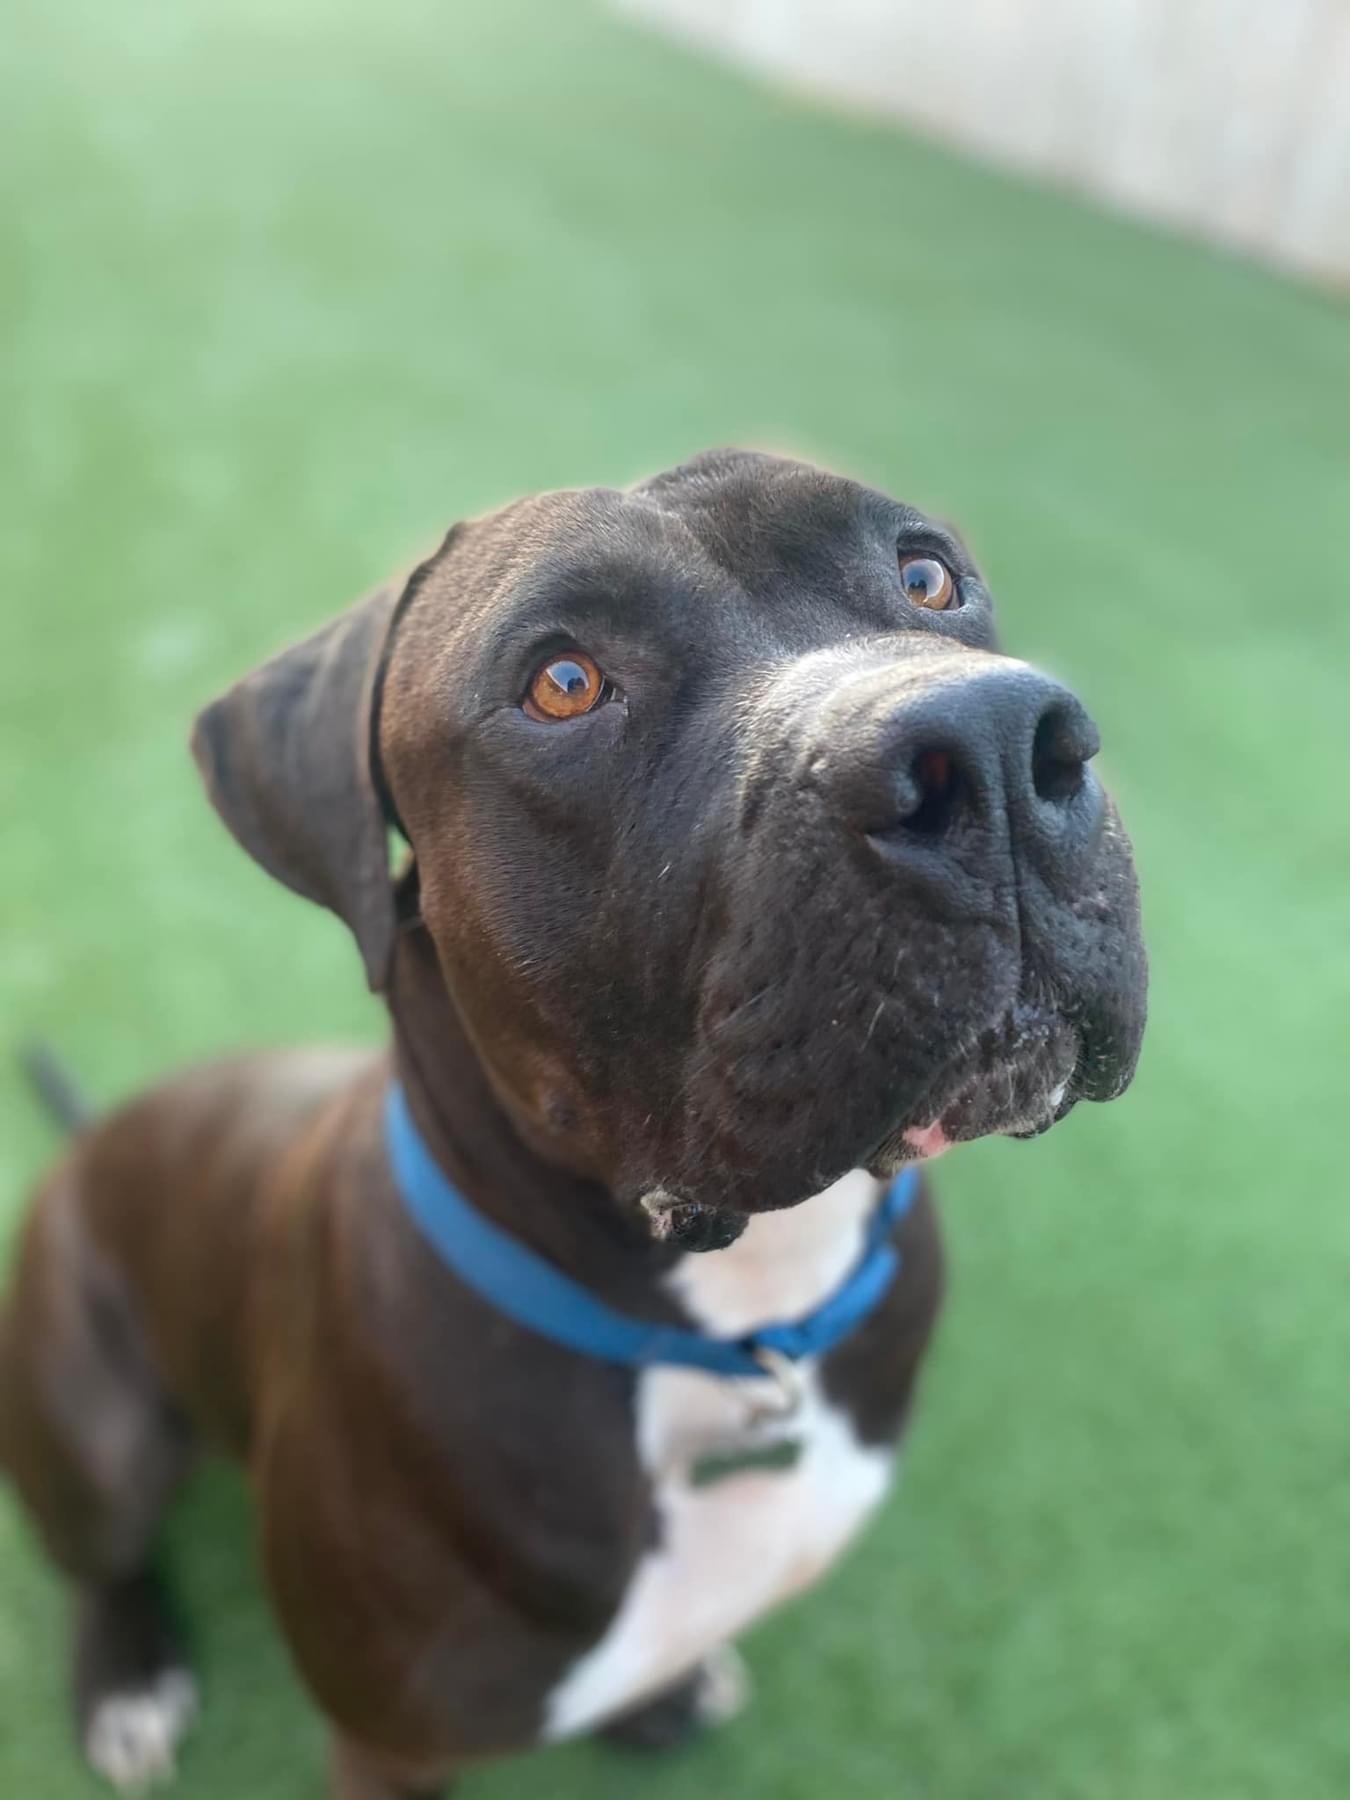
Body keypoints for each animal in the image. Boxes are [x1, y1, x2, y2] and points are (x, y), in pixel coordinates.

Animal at [0, 446, 1144, 1785]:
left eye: (927, 575)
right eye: (563, 683)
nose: (994, 742)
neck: (743, 1320)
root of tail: (89, 1142)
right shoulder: (388, 1748)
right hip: (93, 1418)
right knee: (103, 1553)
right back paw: (126, 1676)